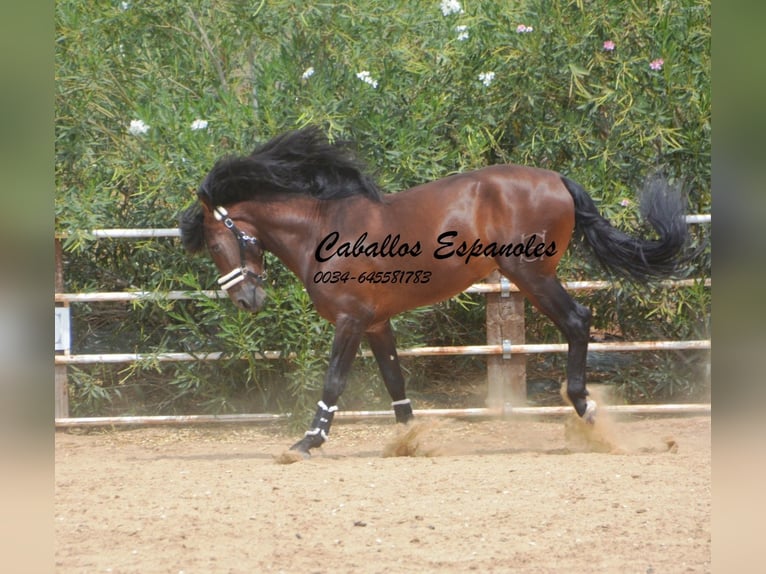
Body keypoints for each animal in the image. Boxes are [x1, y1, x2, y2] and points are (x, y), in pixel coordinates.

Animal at [182, 127, 696, 460]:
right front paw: (410, 439)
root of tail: (557, 180)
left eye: (214, 244)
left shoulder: (351, 321)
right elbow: (395, 381)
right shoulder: (376, 323)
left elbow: (333, 382)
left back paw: (586, 409)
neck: (321, 231)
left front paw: (307, 442)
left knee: (577, 320)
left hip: (530, 274)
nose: (246, 301)